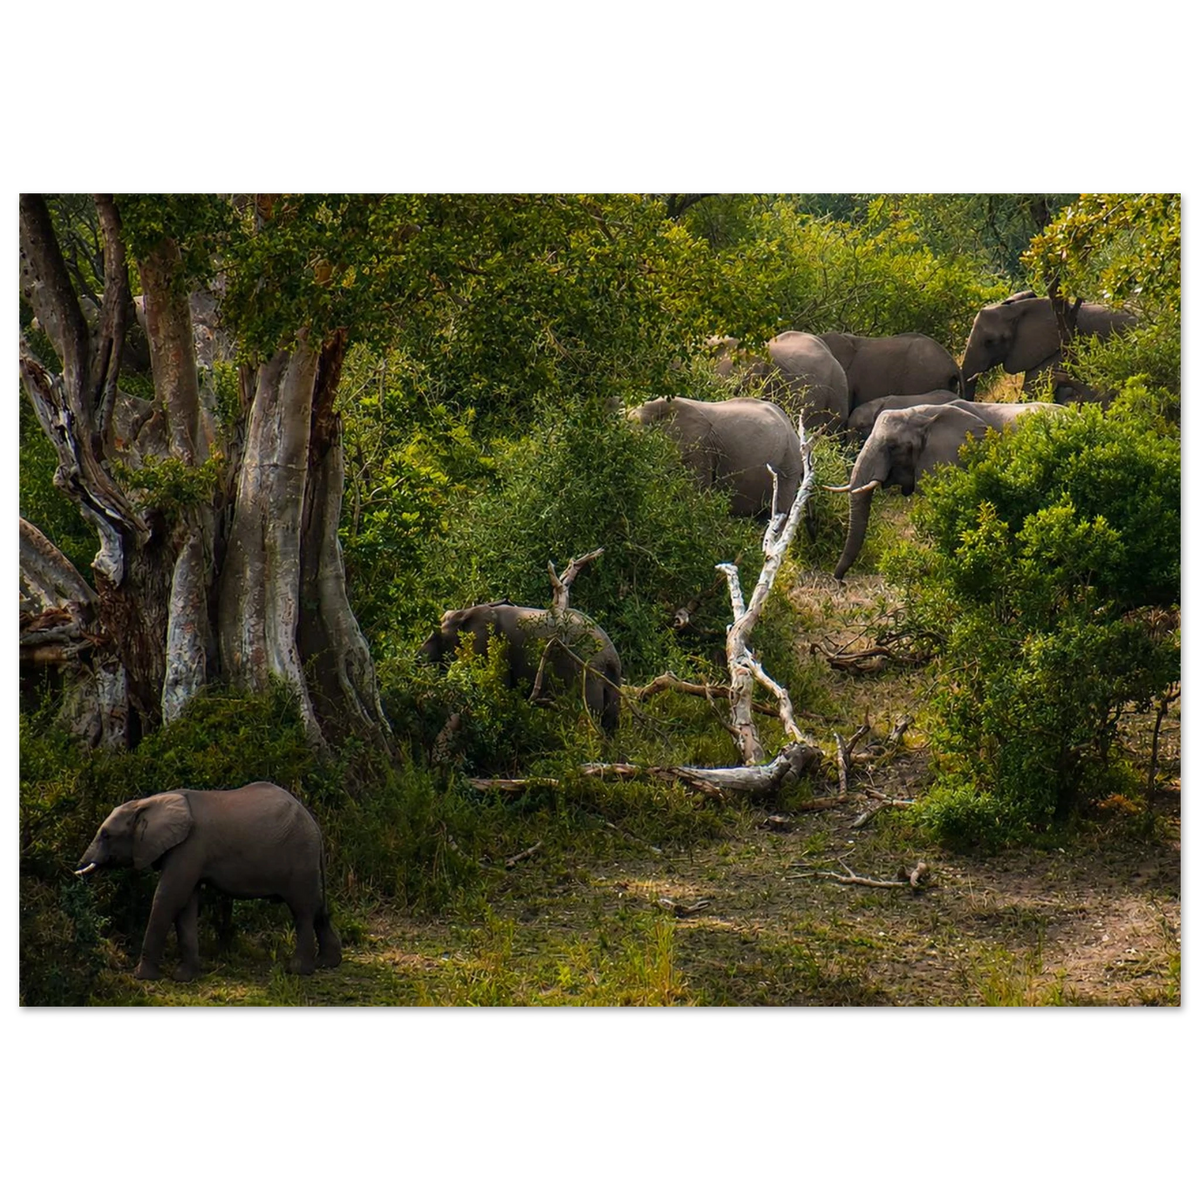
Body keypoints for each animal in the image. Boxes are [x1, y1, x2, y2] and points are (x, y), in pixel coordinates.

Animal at [74, 782, 341, 982]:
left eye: (106, 835)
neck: (148, 802)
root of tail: (314, 824)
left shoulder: (189, 846)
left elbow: (168, 897)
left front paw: (142, 976)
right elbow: (186, 905)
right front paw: (184, 977)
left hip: (300, 854)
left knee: (302, 910)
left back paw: (298, 970)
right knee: (318, 907)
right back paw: (328, 963)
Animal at [420, 603, 623, 734]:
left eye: (440, 638)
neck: (468, 611)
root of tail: (611, 656)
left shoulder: (499, 646)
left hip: (587, 671)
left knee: (589, 716)